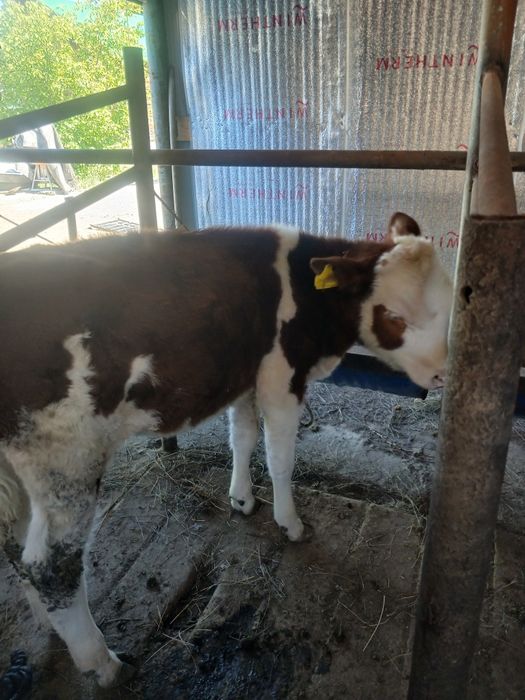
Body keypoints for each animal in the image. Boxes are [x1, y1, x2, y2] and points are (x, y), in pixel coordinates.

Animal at [0, 213, 452, 687]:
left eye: (449, 304)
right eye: (394, 315)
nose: (443, 374)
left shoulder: (246, 375)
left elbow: (243, 436)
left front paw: (241, 498)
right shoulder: (281, 378)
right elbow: (279, 457)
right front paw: (290, 523)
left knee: (15, 541)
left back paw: (49, 624)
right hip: (65, 458)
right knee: (50, 565)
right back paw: (103, 663)